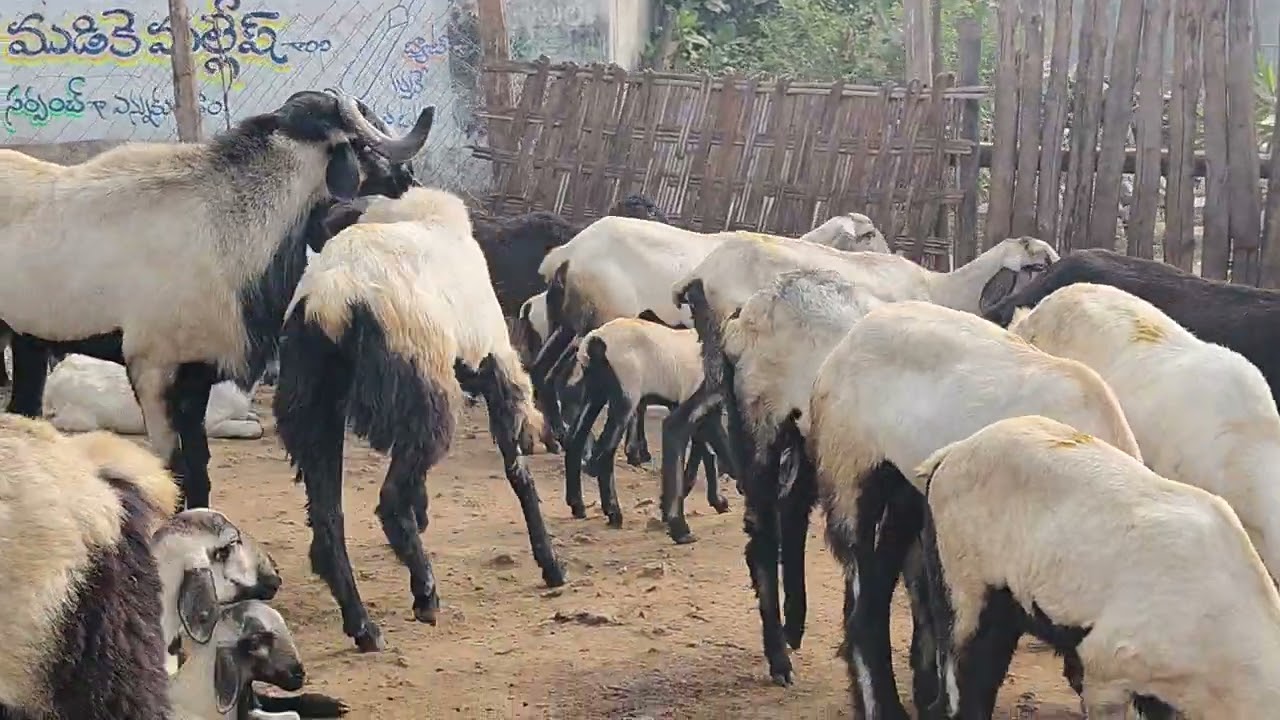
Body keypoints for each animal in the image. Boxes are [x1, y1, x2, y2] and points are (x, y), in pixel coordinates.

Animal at [273, 185, 566, 653]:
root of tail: (332, 300)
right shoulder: (496, 365)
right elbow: (519, 472)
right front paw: (550, 565)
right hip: (426, 396)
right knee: (390, 501)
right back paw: (425, 593)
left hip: (314, 410)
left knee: (328, 523)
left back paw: (364, 626)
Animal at [560, 317, 735, 527]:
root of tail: (595, 340)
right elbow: (713, 449)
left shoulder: (704, 411)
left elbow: (709, 451)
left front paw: (718, 501)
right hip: (625, 396)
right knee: (603, 454)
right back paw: (613, 512)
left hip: (595, 393)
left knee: (575, 442)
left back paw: (577, 505)